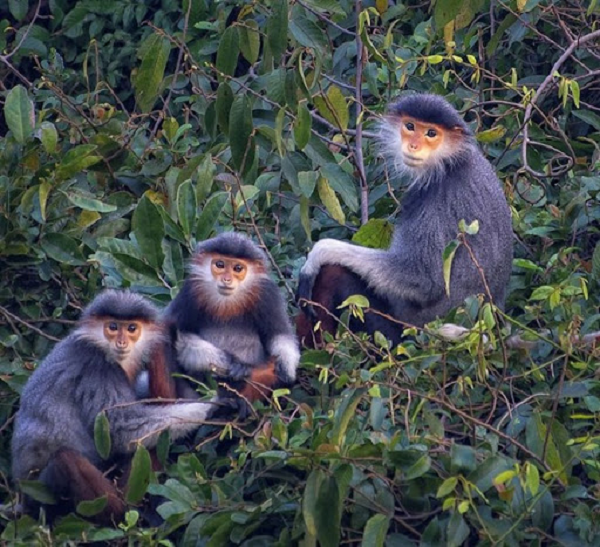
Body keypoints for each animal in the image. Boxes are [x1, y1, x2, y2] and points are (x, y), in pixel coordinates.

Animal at [11, 288, 216, 524]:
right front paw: (215, 405)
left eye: (131, 328)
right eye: (113, 327)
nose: (122, 343)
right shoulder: (97, 369)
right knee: (64, 459)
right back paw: (124, 513)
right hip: (42, 493)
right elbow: (120, 430)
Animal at [150, 231, 300, 416]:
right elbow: (177, 331)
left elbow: (280, 334)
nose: (227, 279)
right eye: (220, 265)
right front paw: (232, 363)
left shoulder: (267, 294)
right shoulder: (191, 291)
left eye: (238, 268)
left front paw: (284, 370)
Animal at [298, 92, 512, 344]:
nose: (413, 145)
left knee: (334, 274)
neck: (451, 162)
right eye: (410, 127)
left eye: (431, 133)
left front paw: (317, 255)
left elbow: (423, 280)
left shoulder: (437, 199)